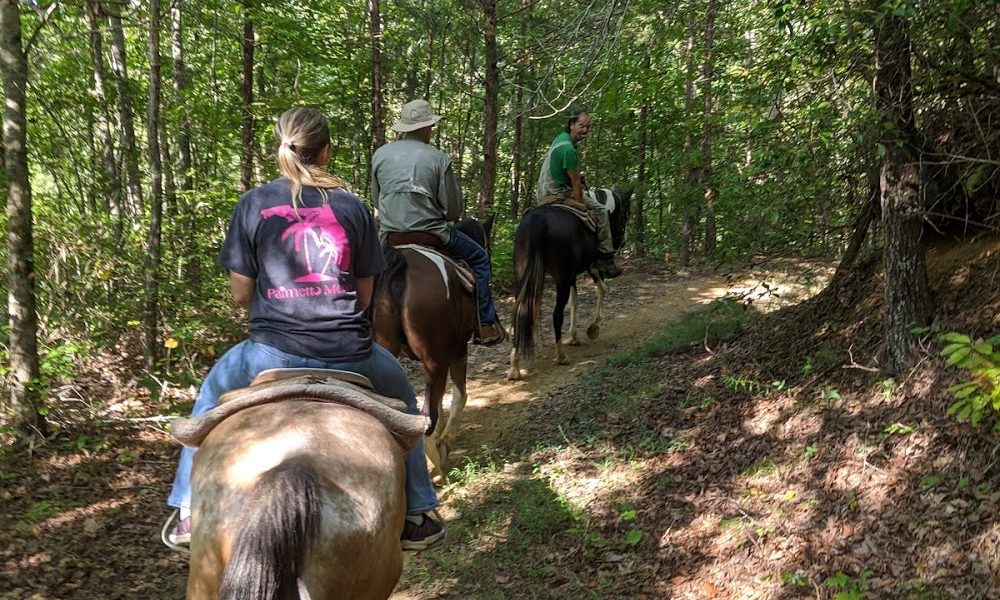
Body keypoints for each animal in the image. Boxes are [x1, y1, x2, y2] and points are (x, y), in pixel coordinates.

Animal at [372, 218, 492, 480]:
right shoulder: (457, 351)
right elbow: (459, 395)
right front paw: (445, 441)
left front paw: (440, 437)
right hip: (435, 359)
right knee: (426, 416)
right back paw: (436, 467)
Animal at [508, 188, 632, 380]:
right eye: (626, 213)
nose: (621, 242)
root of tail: (538, 219)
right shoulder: (592, 267)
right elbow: (602, 289)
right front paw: (593, 326)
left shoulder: (572, 275)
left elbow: (574, 301)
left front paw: (573, 336)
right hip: (561, 277)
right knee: (556, 314)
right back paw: (560, 356)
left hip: (524, 275)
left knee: (519, 311)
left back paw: (515, 366)